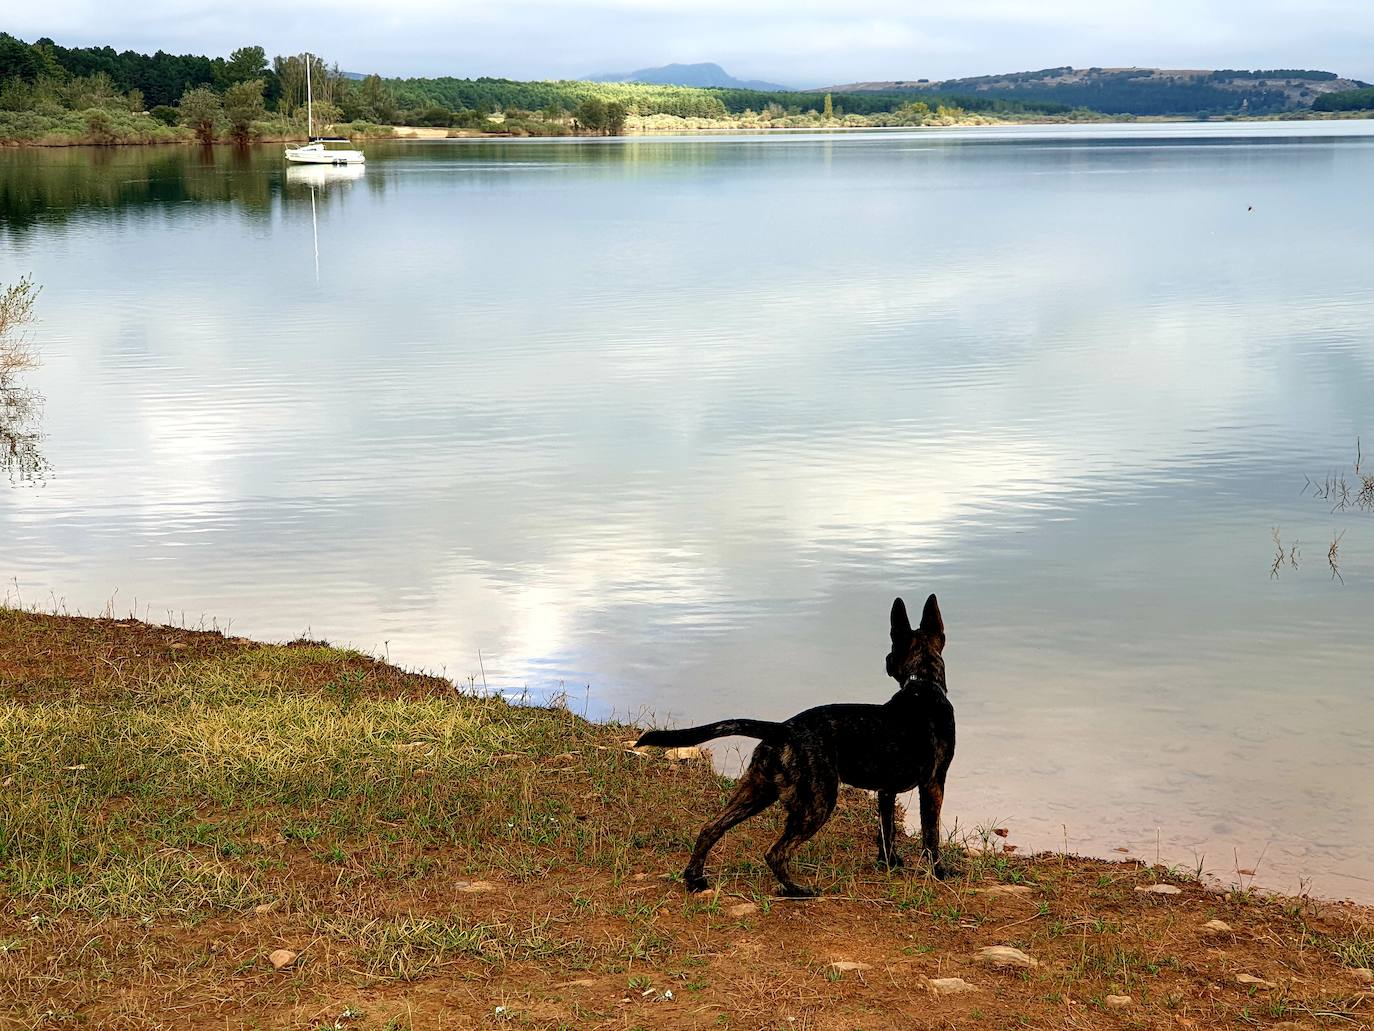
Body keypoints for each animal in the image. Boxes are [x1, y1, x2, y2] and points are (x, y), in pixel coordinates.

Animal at [634, 596, 950, 896]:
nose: (885, 659)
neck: (922, 684)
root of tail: (783, 728)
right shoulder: (933, 783)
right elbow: (930, 834)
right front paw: (940, 872)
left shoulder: (886, 791)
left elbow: (887, 831)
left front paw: (890, 863)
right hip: (817, 803)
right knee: (775, 852)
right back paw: (796, 891)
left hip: (757, 791)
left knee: (710, 828)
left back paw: (695, 879)